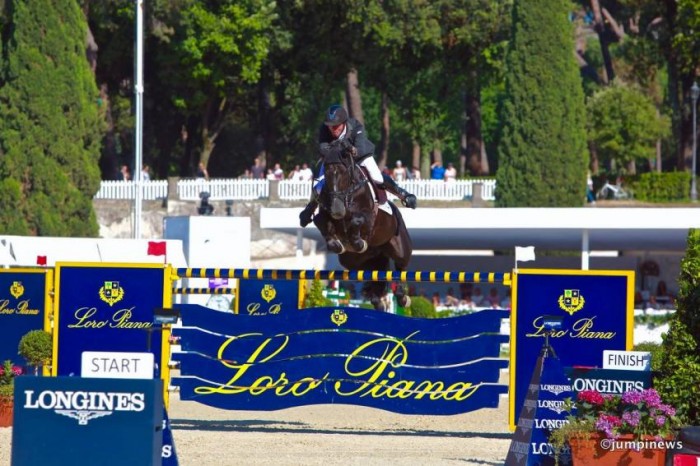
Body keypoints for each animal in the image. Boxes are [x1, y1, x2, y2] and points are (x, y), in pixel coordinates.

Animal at [312, 147, 410, 312]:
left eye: (343, 172)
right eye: (326, 172)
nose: (337, 209)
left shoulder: (368, 217)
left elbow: (357, 221)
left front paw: (358, 242)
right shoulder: (324, 212)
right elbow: (320, 221)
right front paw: (337, 244)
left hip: (400, 248)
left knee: (400, 266)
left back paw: (403, 297)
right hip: (358, 262)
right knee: (375, 278)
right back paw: (378, 301)